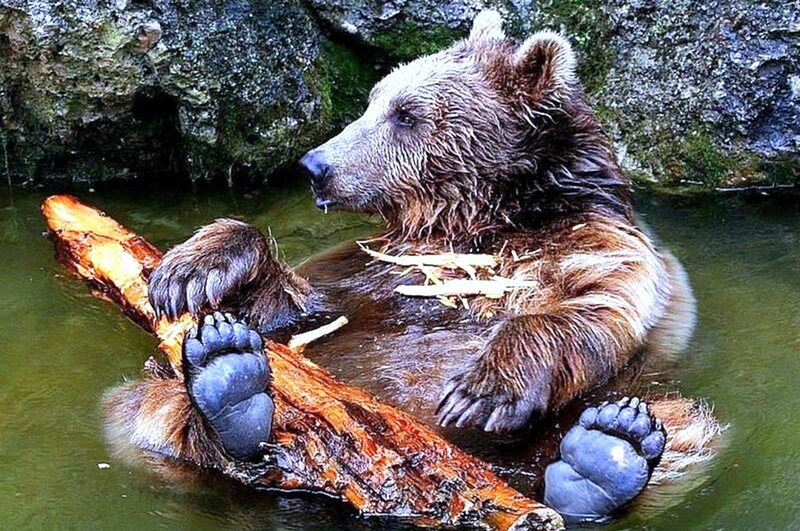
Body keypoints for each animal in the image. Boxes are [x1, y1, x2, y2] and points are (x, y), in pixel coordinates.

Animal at [103, 10, 720, 524]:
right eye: (372, 101)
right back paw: (229, 384)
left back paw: (603, 459)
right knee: (152, 407)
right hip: (164, 409)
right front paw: (190, 272)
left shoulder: (597, 247)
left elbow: (594, 308)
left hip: (641, 424)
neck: (473, 223)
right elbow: (300, 308)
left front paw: (479, 392)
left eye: (406, 114)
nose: (316, 165)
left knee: (677, 435)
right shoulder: (375, 270)